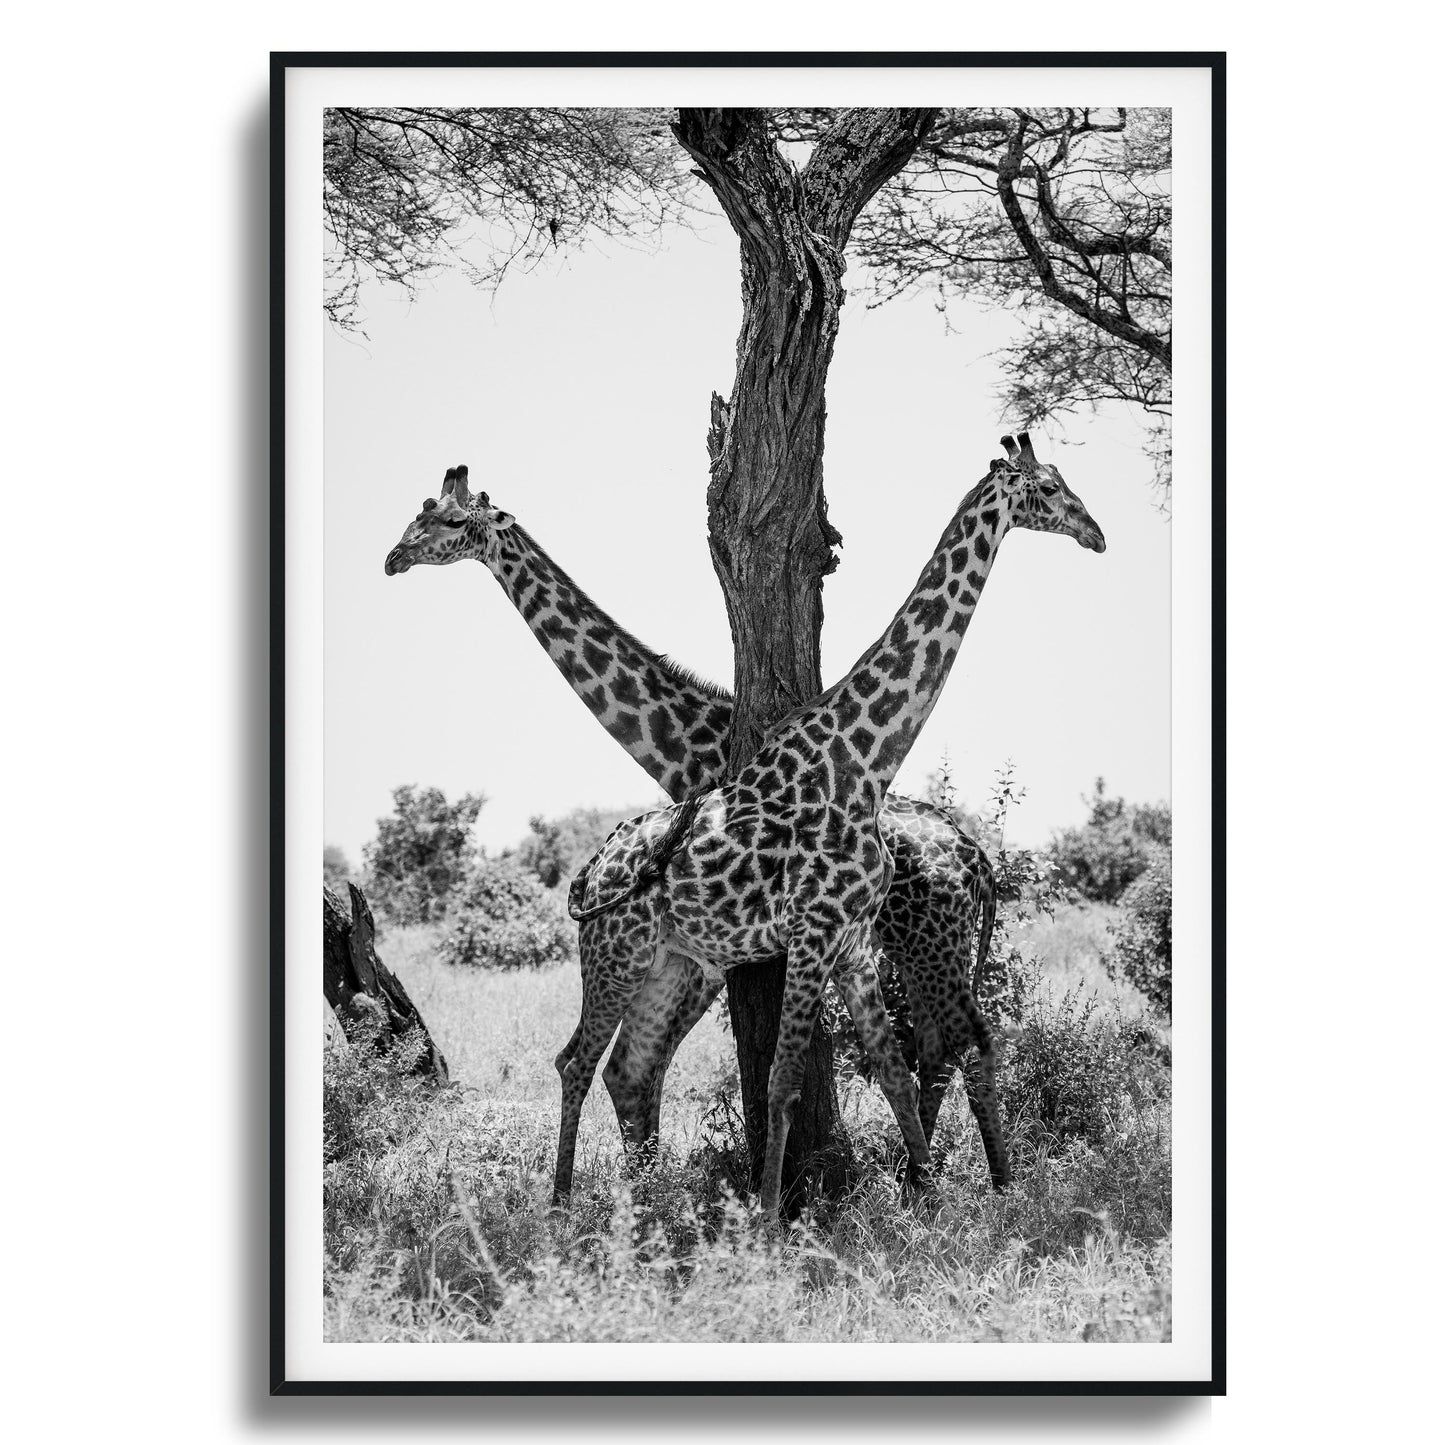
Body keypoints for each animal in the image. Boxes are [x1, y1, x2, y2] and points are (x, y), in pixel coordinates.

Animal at [385, 465, 998, 1158]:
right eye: (418, 510)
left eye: (448, 520)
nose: (394, 556)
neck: (689, 740)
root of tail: (977, 858)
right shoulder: (704, 944)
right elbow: (643, 1068)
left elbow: (652, 1067)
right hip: (932, 947)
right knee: (939, 1049)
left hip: (927, 943)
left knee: (948, 1048)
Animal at [557, 434, 1105, 1215]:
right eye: (1050, 489)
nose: (1097, 534)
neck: (861, 763)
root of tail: (591, 869)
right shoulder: (812, 933)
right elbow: (784, 1078)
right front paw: (767, 1216)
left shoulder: (845, 942)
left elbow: (889, 1069)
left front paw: (927, 1201)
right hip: (615, 953)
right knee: (577, 1059)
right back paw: (561, 1206)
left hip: (670, 961)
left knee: (626, 1065)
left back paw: (640, 1201)